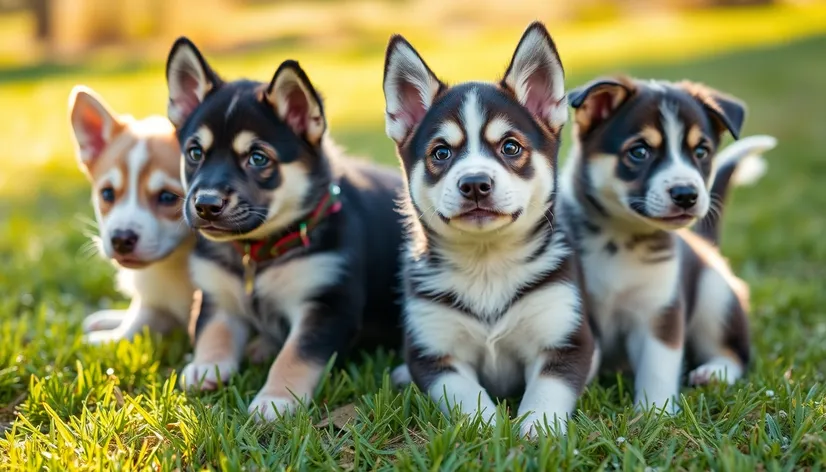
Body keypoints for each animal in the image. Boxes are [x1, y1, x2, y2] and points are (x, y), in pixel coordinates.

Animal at [69, 85, 195, 342]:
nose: (121, 240)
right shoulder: (153, 303)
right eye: (107, 193)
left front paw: (97, 342)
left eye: (167, 197)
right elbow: (137, 320)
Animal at [163, 37, 402, 420]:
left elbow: (296, 355)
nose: (206, 205)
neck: (257, 252)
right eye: (195, 153)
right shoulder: (217, 295)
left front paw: (276, 399)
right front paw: (206, 366)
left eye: (258, 158)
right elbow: (212, 332)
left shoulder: (327, 304)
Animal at [384, 20, 596, 436]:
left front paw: (536, 432)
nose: (475, 183)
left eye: (510, 147)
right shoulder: (435, 354)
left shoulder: (565, 341)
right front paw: (486, 427)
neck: (487, 264)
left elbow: (545, 394)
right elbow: (466, 394)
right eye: (441, 153)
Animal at [556, 75, 776, 412]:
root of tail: (707, 247)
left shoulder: (660, 310)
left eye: (701, 151)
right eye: (639, 152)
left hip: (716, 298)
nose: (686, 194)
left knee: (736, 354)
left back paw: (715, 372)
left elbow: (658, 367)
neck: (620, 239)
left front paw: (654, 413)